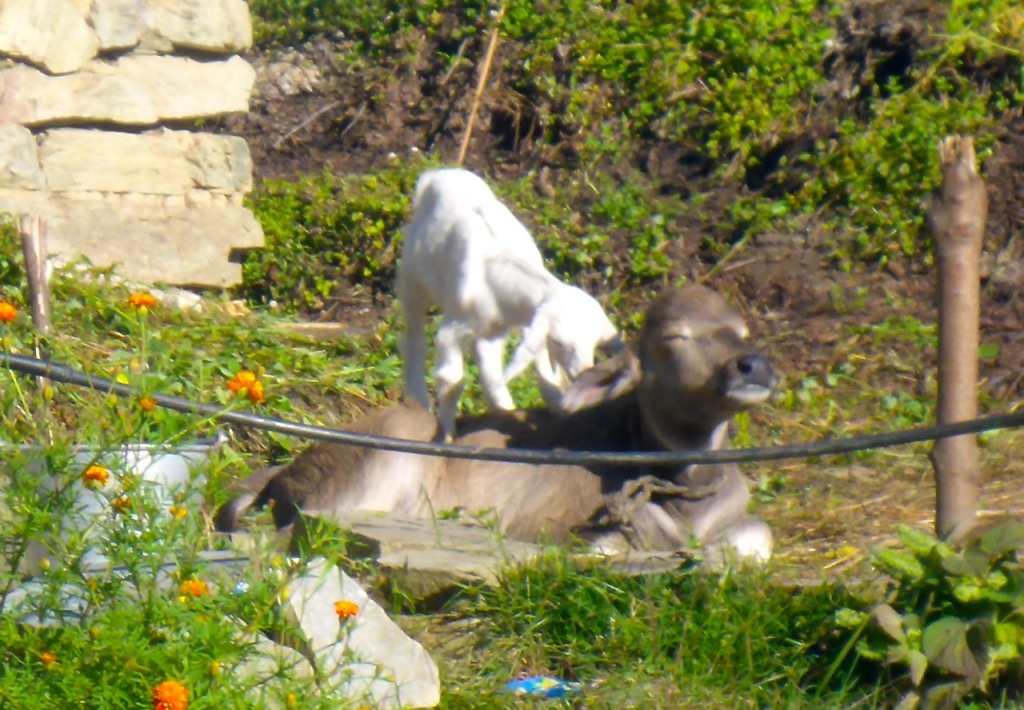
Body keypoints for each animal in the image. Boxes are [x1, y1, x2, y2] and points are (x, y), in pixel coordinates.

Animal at [397, 168, 618, 440]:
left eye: (595, 343)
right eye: (559, 342)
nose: (584, 371)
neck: (498, 268)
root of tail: (439, 173)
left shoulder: (524, 321)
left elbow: (539, 368)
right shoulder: (453, 328)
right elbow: (452, 380)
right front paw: (446, 436)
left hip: (490, 330)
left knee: (488, 363)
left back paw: (503, 407)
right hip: (412, 278)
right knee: (414, 338)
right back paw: (417, 399)